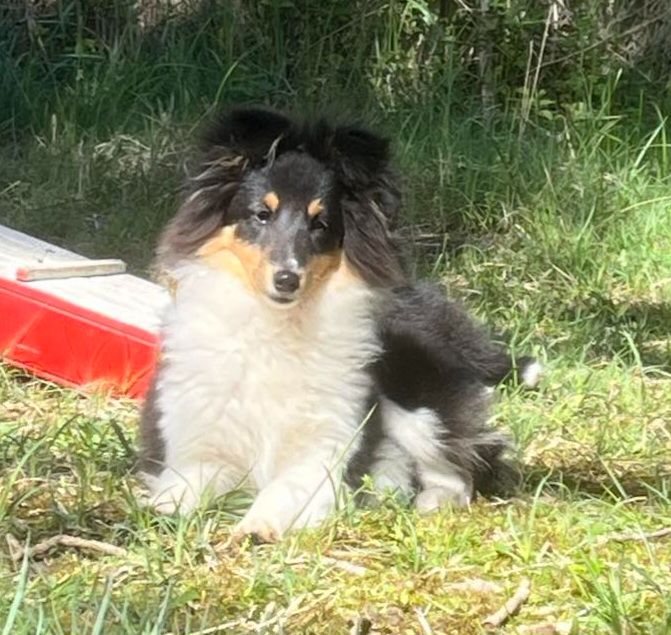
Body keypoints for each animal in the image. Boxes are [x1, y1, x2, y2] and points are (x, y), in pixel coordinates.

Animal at [138, 108, 540, 540]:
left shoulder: (325, 451)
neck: (275, 325)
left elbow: (285, 488)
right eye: (262, 214)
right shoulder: (196, 447)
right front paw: (157, 514)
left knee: (464, 467)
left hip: (415, 405)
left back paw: (426, 501)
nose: (287, 279)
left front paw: (257, 526)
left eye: (321, 224)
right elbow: (180, 489)